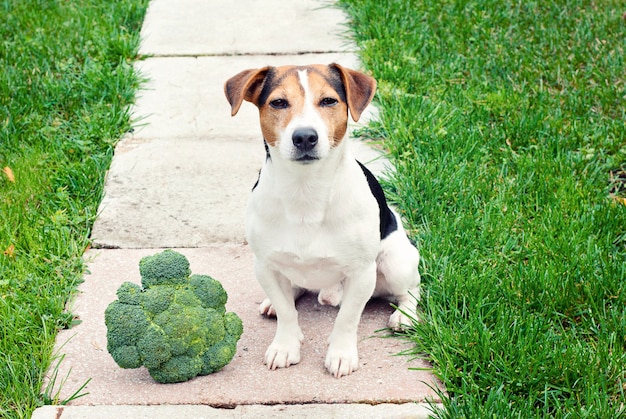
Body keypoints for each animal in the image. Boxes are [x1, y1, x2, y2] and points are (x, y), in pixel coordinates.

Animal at [224, 64, 420, 378]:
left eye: (328, 101)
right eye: (278, 102)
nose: (305, 137)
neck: (305, 191)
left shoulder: (361, 272)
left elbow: (347, 319)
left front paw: (340, 354)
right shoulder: (264, 266)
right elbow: (287, 312)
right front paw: (285, 345)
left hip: (396, 263)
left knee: (413, 289)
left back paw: (405, 316)